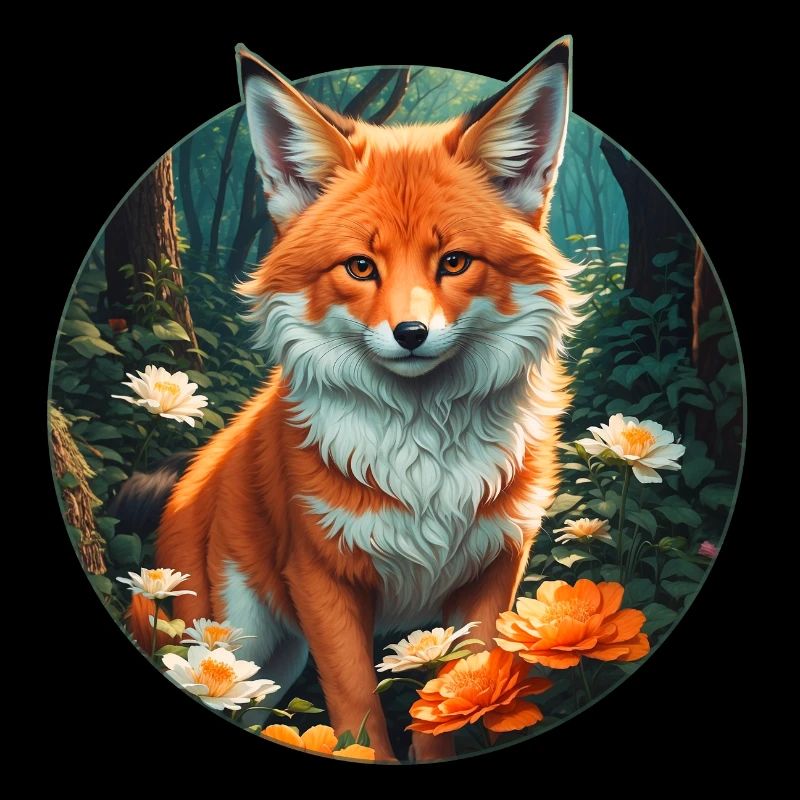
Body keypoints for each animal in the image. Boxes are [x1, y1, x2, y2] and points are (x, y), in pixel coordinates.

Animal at [120, 38, 580, 761]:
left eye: (453, 262)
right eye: (361, 267)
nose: (411, 333)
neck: (424, 462)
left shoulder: (493, 571)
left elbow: (453, 705)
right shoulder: (322, 578)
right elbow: (358, 709)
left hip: (270, 666)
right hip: (233, 643)